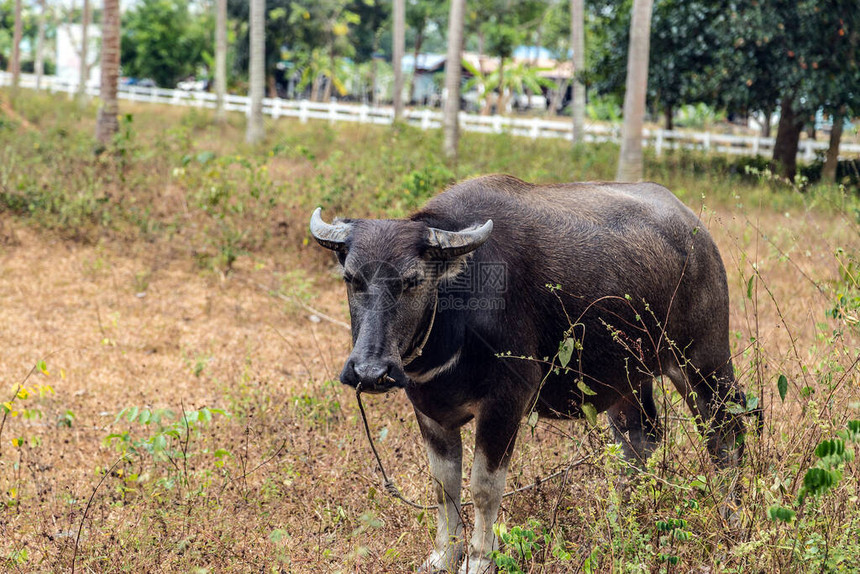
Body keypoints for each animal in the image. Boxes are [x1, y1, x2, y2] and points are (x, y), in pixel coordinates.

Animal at [310, 177, 752, 574]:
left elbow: (483, 488)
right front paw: (442, 555)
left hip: (703, 361)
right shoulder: (430, 411)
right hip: (628, 378)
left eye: (413, 280)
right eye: (352, 279)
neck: (457, 316)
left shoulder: (505, 403)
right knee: (640, 439)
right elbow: (443, 487)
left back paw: (731, 515)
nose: (370, 371)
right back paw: (620, 519)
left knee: (727, 431)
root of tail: (699, 237)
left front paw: (480, 560)